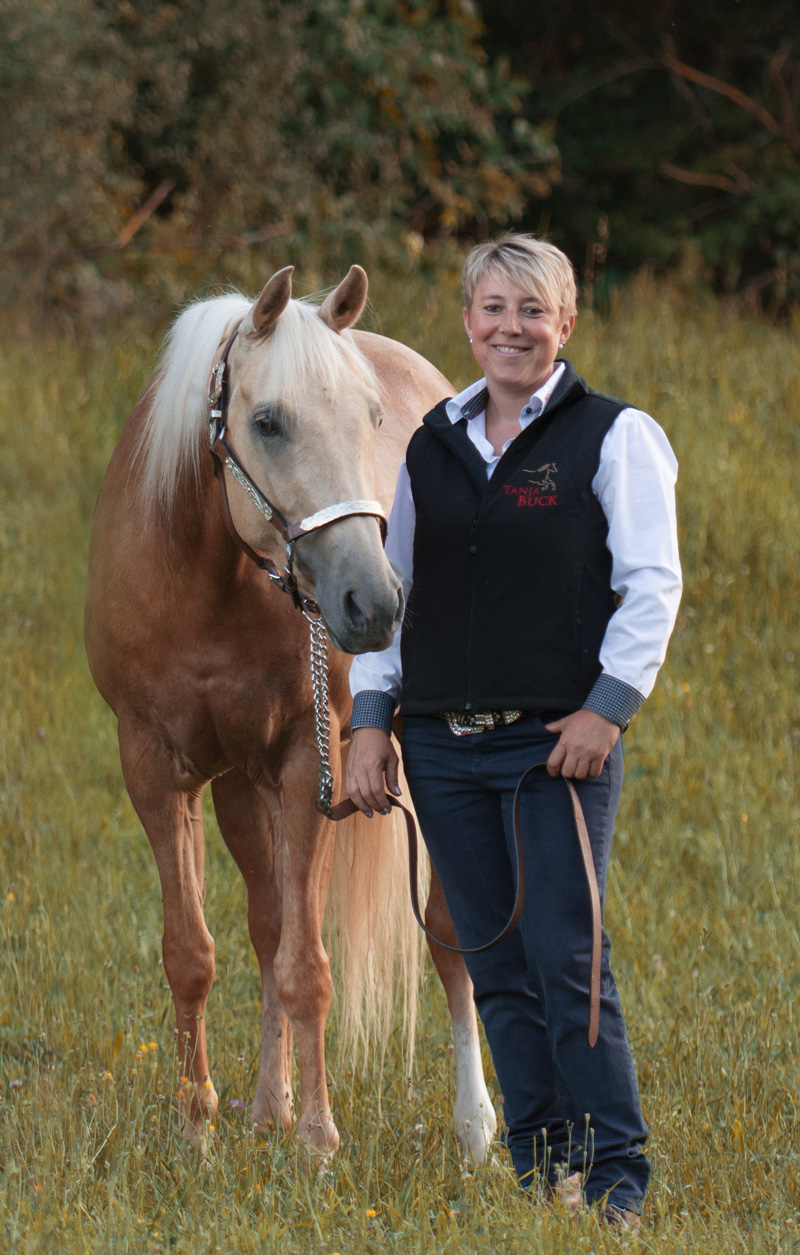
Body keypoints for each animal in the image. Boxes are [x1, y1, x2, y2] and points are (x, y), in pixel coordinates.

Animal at [84, 264, 497, 1164]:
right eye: (267, 422)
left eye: (371, 418)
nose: (374, 603)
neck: (209, 581)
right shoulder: (156, 768)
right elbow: (198, 953)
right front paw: (198, 1126)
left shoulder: (316, 762)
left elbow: (309, 967)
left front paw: (316, 1138)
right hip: (245, 787)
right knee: (268, 922)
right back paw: (264, 1107)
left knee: (447, 934)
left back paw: (476, 1126)